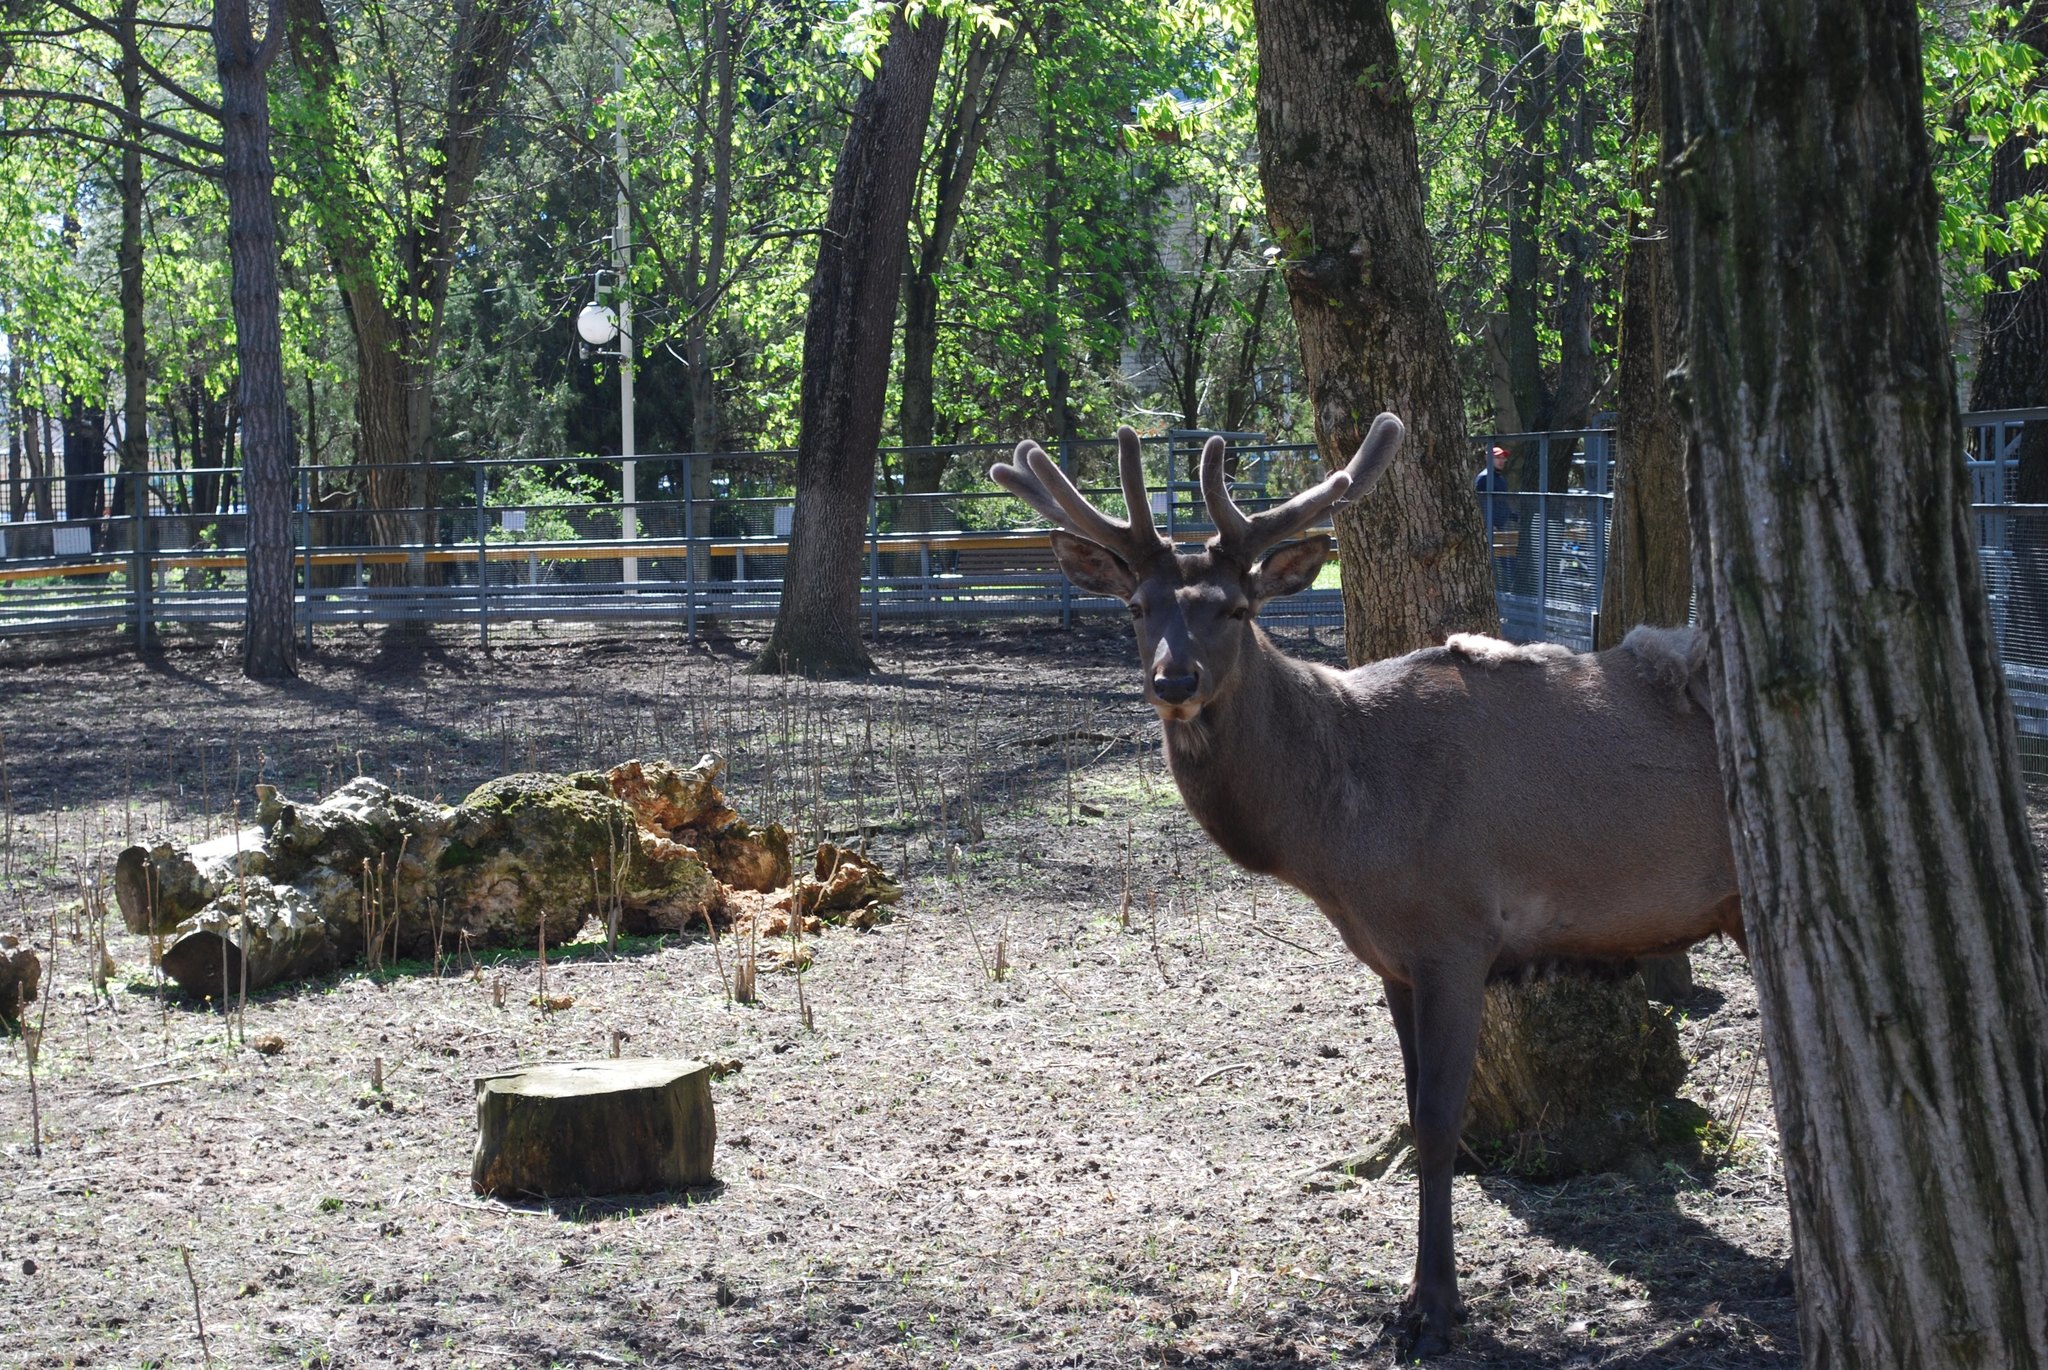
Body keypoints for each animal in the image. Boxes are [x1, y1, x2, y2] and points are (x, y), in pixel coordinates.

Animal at [991, 411, 1744, 1351]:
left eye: (1235, 608)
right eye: (1137, 608)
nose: (1174, 679)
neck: (1339, 840)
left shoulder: (1456, 932)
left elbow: (1439, 1120)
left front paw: (1434, 1309)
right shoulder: (1390, 958)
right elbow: (1418, 1110)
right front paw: (1419, 1293)